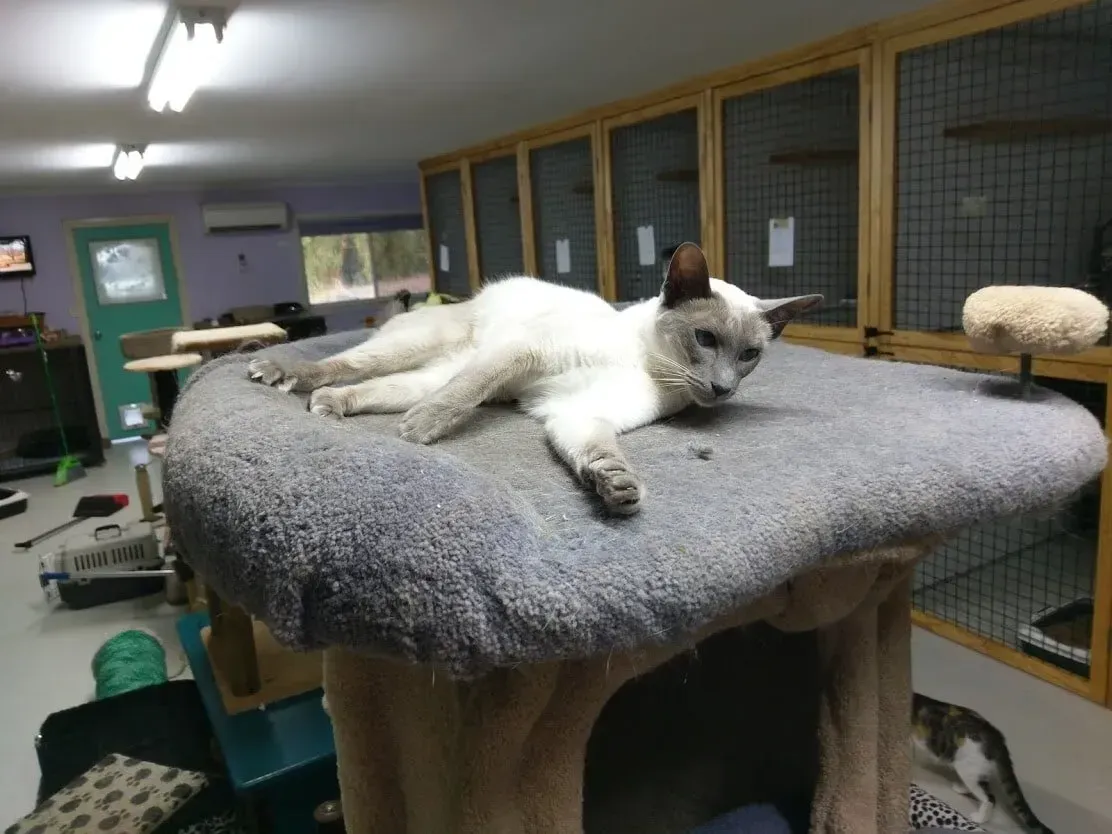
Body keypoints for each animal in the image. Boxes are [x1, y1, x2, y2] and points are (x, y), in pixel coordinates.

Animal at [254, 241, 827, 515]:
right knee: (349, 364)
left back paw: (328, 406)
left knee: (367, 388)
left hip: (422, 375)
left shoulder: (577, 413)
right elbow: (464, 396)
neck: (649, 366)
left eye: (749, 354)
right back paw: (276, 373)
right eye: (705, 339)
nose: (722, 388)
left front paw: (618, 490)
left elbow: (599, 453)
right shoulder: (527, 354)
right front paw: (421, 432)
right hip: (420, 349)